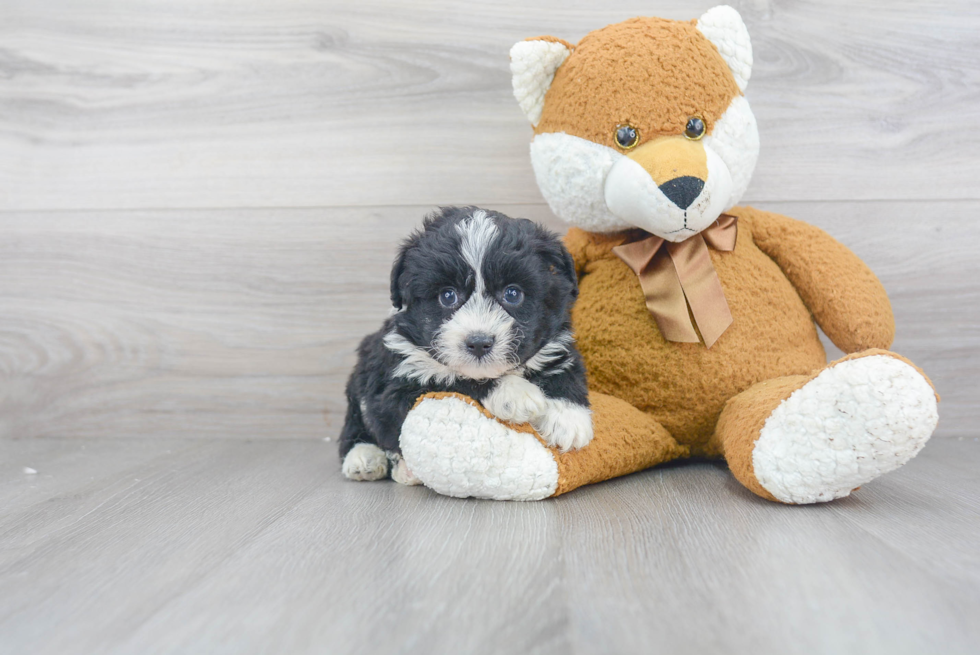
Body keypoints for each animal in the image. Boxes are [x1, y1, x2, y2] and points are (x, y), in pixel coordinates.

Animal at [340, 208, 592, 484]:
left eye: (512, 294)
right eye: (447, 296)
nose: (479, 343)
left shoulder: (556, 344)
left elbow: (566, 369)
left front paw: (568, 417)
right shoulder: (394, 387)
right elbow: (452, 379)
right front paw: (514, 392)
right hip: (360, 382)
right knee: (355, 427)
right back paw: (366, 459)